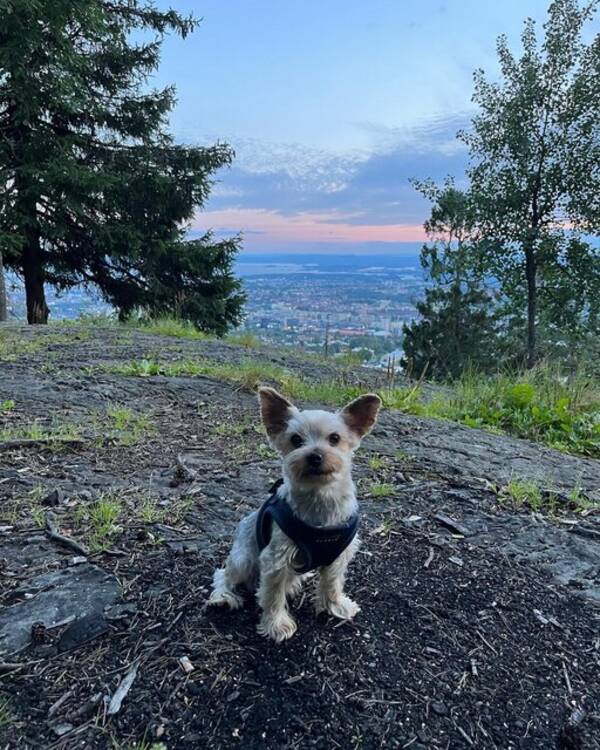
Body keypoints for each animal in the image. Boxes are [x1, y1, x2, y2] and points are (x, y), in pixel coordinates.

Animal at [209, 384, 382, 644]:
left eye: (335, 438)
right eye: (296, 439)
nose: (315, 456)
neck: (319, 497)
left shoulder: (338, 556)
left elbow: (333, 583)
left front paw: (336, 606)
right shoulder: (276, 558)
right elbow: (272, 596)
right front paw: (276, 625)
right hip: (244, 557)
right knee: (224, 575)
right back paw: (222, 597)